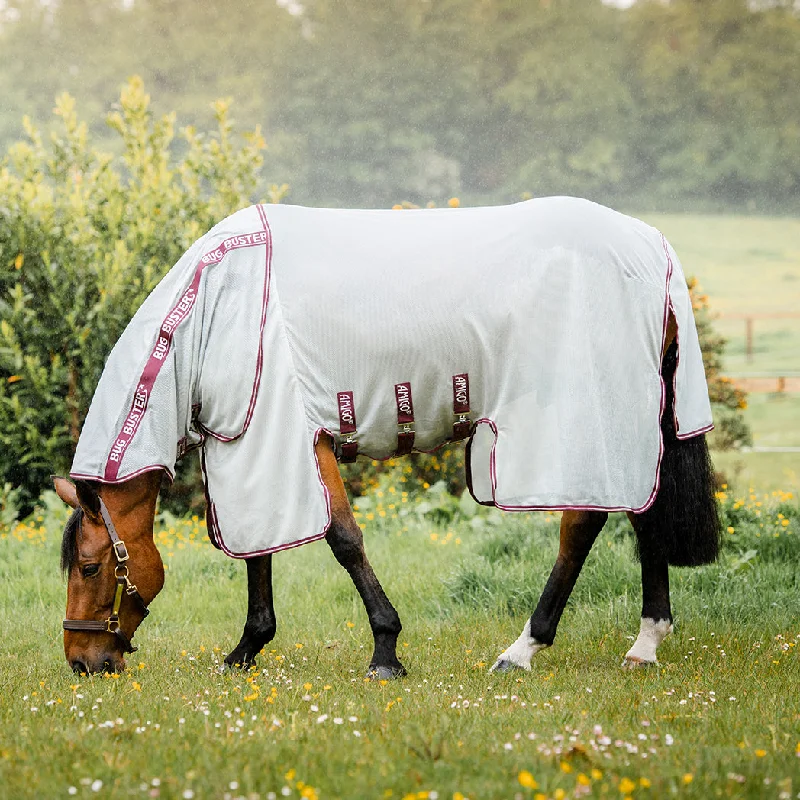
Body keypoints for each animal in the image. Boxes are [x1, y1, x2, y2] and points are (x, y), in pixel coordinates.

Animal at [54, 198, 720, 676]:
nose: (84, 663)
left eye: (89, 567)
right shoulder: (257, 450)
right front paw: (246, 651)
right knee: (639, 514)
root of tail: (653, 246)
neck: (217, 308)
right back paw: (642, 643)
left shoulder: (291, 436)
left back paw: (529, 649)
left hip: (580, 421)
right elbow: (261, 551)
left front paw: (384, 651)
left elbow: (343, 541)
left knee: (585, 526)